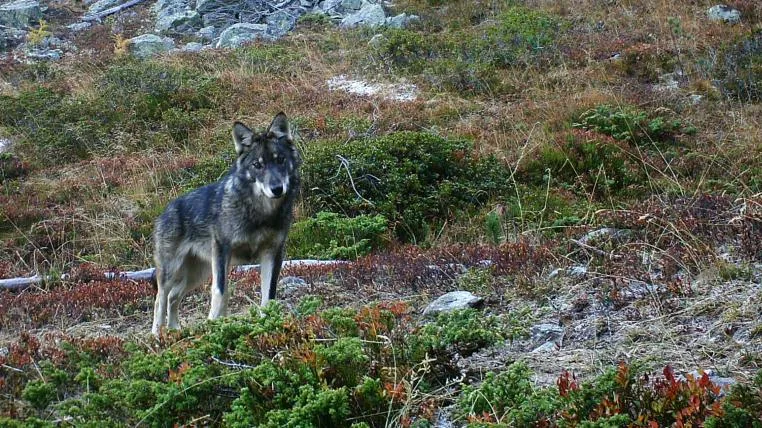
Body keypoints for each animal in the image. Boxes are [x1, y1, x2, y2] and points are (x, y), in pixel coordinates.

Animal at [151, 112, 301, 336]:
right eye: (257, 165)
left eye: (280, 160)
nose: (277, 189)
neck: (260, 213)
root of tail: (165, 210)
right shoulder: (223, 251)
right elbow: (221, 293)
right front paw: (214, 325)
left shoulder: (273, 253)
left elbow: (269, 296)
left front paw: (267, 325)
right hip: (173, 271)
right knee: (160, 300)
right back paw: (156, 336)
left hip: (197, 274)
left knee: (173, 297)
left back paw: (175, 331)